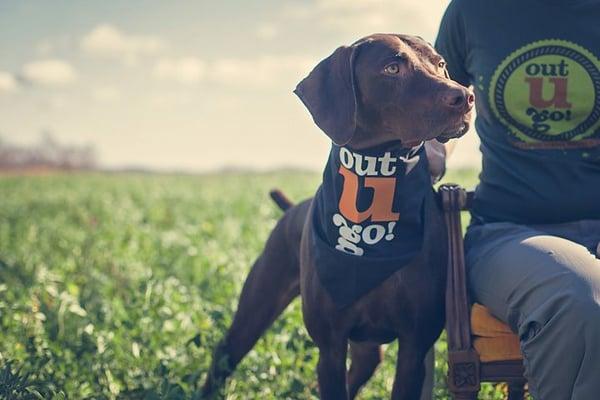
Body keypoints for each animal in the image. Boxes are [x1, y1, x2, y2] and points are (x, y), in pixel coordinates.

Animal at [202, 35, 474, 400]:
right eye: (392, 68)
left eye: (440, 63)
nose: (465, 97)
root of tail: (292, 209)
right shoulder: (330, 347)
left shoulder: (414, 347)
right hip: (256, 308)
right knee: (224, 354)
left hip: (366, 347)